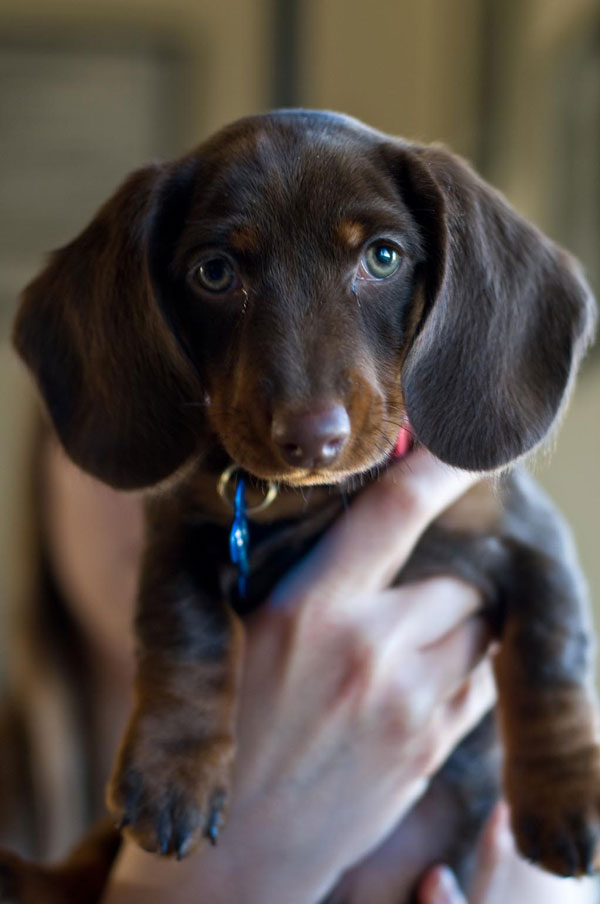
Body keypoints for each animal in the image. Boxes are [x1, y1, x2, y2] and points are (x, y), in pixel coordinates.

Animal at [5, 109, 600, 900]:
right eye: (215, 273)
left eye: (382, 257)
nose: (313, 438)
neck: (320, 499)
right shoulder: (181, 532)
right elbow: (187, 631)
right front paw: (173, 772)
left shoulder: (525, 536)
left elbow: (550, 656)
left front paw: (566, 797)